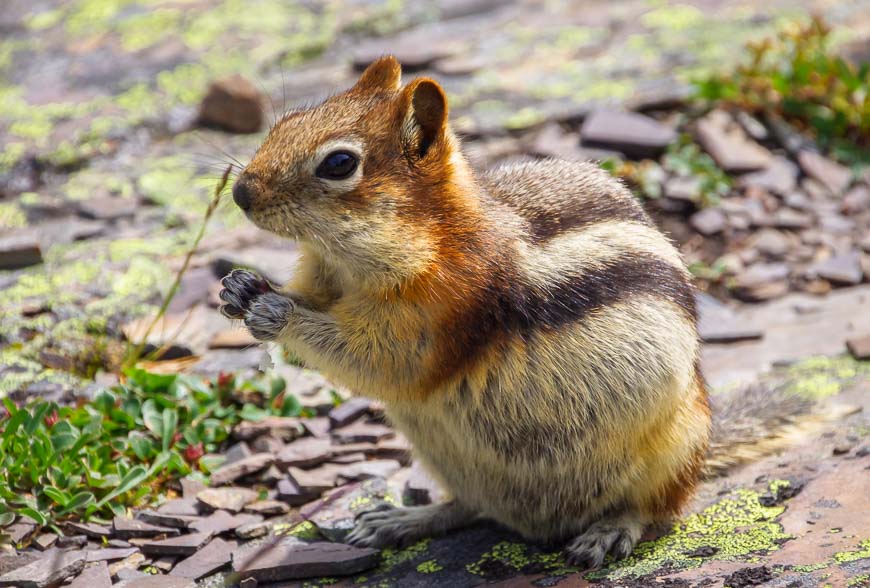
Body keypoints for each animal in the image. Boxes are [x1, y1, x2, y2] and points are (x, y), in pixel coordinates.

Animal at [221, 57, 820, 568]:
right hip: (452, 459)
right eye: (288, 120)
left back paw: (609, 530)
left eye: (340, 163)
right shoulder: (323, 277)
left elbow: (382, 362)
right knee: (468, 506)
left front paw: (277, 312)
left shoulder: (444, 311)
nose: (240, 194)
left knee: (656, 509)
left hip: (673, 450)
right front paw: (240, 287)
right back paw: (401, 519)